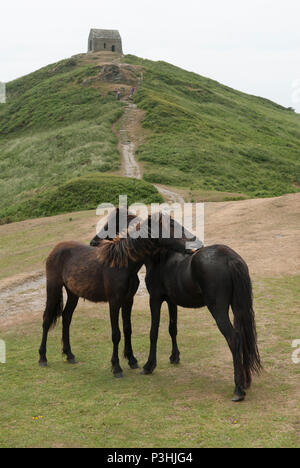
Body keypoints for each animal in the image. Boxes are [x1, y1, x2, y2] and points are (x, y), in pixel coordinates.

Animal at [38, 212, 193, 376]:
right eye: (171, 225)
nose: (194, 243)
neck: (123, 264)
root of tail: (56, 248)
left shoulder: (128, 300)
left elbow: (127, 329)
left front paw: (132, 360)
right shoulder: (114, 302)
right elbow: (116, 334)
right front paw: (116, 367)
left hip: (73, 293)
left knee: (66, 317)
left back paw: (69, 355)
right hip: (53, 288)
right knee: (47, 319)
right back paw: (42, 357)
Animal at [91, 208, 260, 402]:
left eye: (110, 224)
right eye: (172, 224)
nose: (94, 242)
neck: (161, 258)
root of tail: (229, 257)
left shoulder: (155, 299)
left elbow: (154, 332)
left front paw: (149, 365)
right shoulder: (172, 301)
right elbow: (173, 328)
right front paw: (174, 357)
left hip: (218, 310)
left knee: (234, 338)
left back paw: (238, 389)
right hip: (238, 308)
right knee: (244, 336)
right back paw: (246, 381)